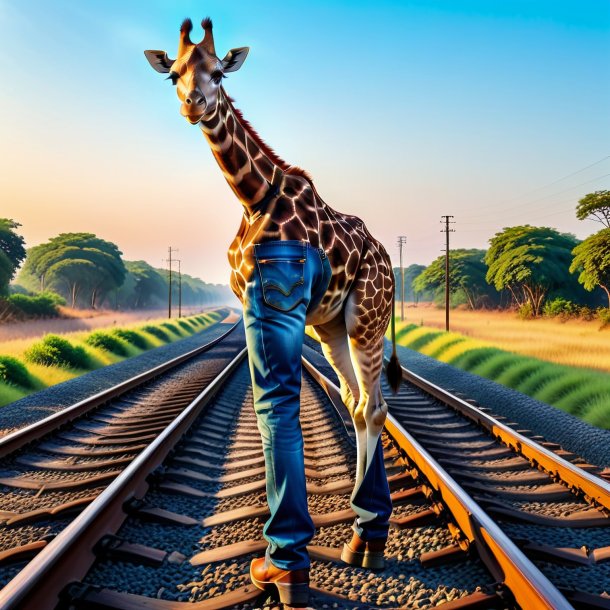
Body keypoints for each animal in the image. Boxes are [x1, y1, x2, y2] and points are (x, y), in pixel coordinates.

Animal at [145, 15, 402, 540]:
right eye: (173, 74)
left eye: (219, 73)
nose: (193, 104)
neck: (253, 197)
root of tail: (388, 260)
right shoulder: (250, 302)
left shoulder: (280, 304)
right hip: (331, 328)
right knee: (355, 402)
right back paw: (359, 509)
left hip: (366, 318)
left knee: (374, 406)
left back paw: (369, 522)